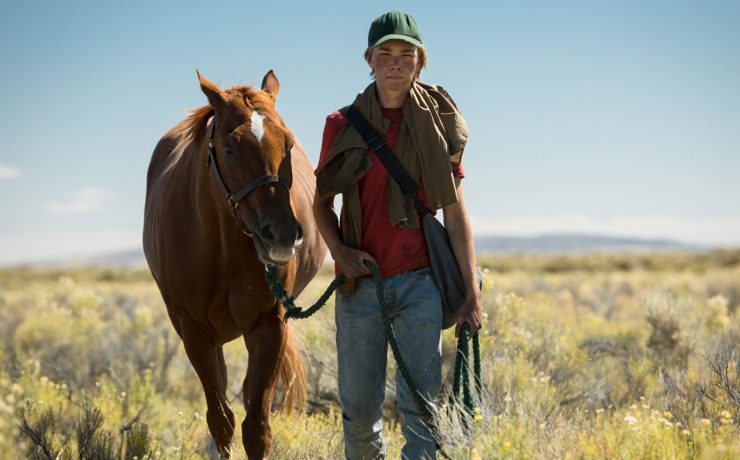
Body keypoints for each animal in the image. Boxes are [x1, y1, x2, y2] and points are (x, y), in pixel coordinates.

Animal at [145, 70, 326, 458]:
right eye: (229, 148)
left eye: (288, 144)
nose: (281, 234)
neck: (221, 247)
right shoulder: (195, 332)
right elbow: (220, 421)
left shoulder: (268, 325)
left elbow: (256, 426)